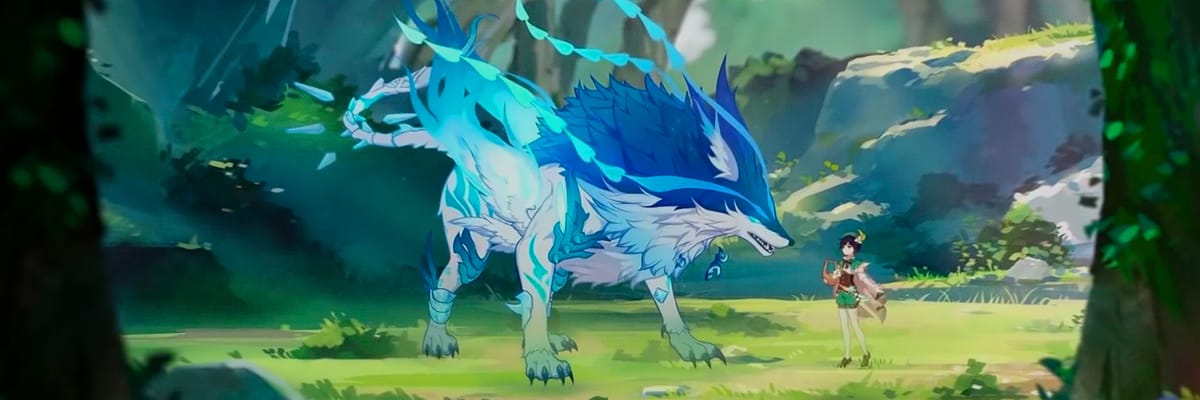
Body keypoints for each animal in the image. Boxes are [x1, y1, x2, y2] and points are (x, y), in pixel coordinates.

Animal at [323, 0, 793, 384]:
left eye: (765, 196)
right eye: (743, 200)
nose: (786, 239)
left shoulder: (645, 249)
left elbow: (666, 302)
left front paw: (689, 346)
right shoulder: (540, 243)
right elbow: (533, 296)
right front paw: (540, 363)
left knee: (540, 296)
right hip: (471, 244)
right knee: (452, 281)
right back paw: (439, 340)